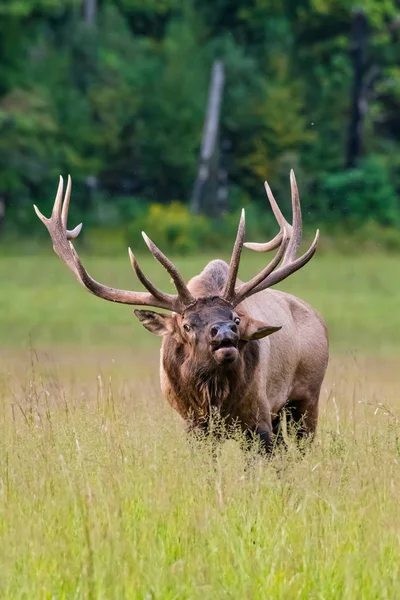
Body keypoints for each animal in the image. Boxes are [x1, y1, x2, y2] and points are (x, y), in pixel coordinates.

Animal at [34, 171, 328, 452]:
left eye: (236, 319)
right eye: (187, 325)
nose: (224, 333)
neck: (213, 396)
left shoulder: (258, 417)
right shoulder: (193, 424)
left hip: (306, 396)